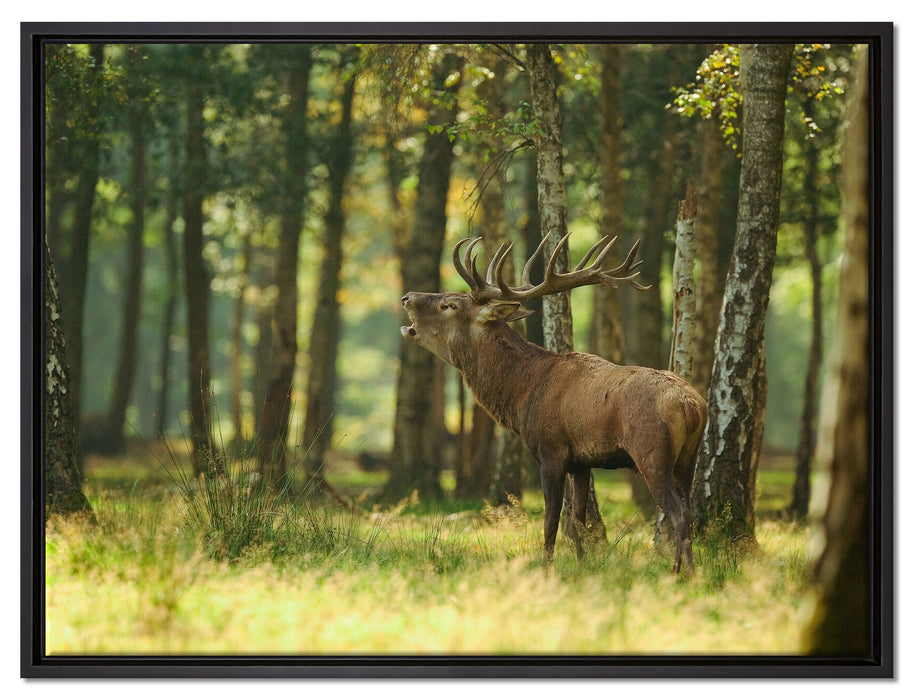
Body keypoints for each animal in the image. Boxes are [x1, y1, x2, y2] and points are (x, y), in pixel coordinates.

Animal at [400, 233, 708, 577]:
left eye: (450, 305)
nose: (407, 297)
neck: (523, 395)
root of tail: (691, 404)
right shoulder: (582, 463)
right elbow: (577, 522)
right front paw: (582, 565)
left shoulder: (550, 451)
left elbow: (550, 523)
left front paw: (546, 569)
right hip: (688, 459)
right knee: (688, 509)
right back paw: (680, 569)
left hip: (651, 452)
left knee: (678, 513)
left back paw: (684, 574)